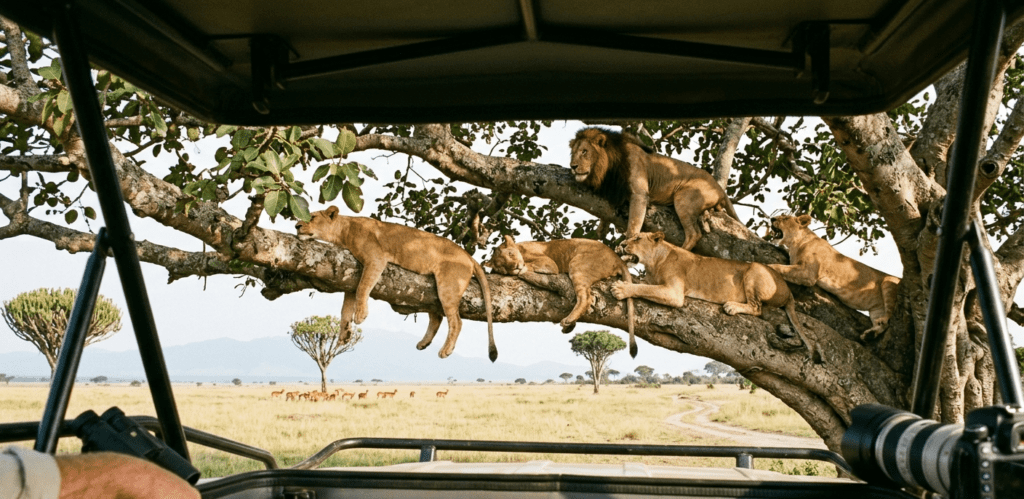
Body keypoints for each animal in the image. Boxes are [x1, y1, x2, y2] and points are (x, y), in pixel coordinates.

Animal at [295, 205, 496, 360]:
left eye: (312, 217)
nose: (296, 226)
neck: (344, 231)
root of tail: (468, 256)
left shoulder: (376, 259)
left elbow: (363, 288)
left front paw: (360, 315)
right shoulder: (349, 276)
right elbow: (346, 307)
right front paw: (344, 336)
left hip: (448, 285)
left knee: (456, 322)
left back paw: (445, 350)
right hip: (432, 292)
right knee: (437, 317)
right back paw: (424, 343)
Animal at [484, 235, 637, 357]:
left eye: (510, 254)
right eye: (503, 267)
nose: (515, 267)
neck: (521, 249)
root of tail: (617, 258)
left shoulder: (549, 264)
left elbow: (529, 266)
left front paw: (522, 270)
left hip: (577, 264)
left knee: (586, 298)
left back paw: (568, 320)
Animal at [569, 127, 739, 250]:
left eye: (584, 151)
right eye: (573, 153)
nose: (572, 166)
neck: (608, 170)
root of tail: (720, 189)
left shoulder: (639, 193)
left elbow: (634, 223)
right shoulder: (613, 190)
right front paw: (602, 228)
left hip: (684, 198)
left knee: (694, 234)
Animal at [610, 232, 816, 359]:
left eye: (637, 238)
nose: (622, 244)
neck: (654, 262)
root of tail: (788, 291)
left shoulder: (674, 292)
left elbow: (644, 288)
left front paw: (622, 288)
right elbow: (645, 285)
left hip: (754, 269)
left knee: (757, 308)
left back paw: (731, 306)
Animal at [767, 214, 900, 341]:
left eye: (785, 218)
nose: (772, 219)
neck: (796, 244)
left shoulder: (808, 273)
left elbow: (779, 267)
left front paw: (766, 266)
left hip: (888, 282)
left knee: (889, 314)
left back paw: (881, 322)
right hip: (876, 310)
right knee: (885, 324)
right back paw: (869, 335)